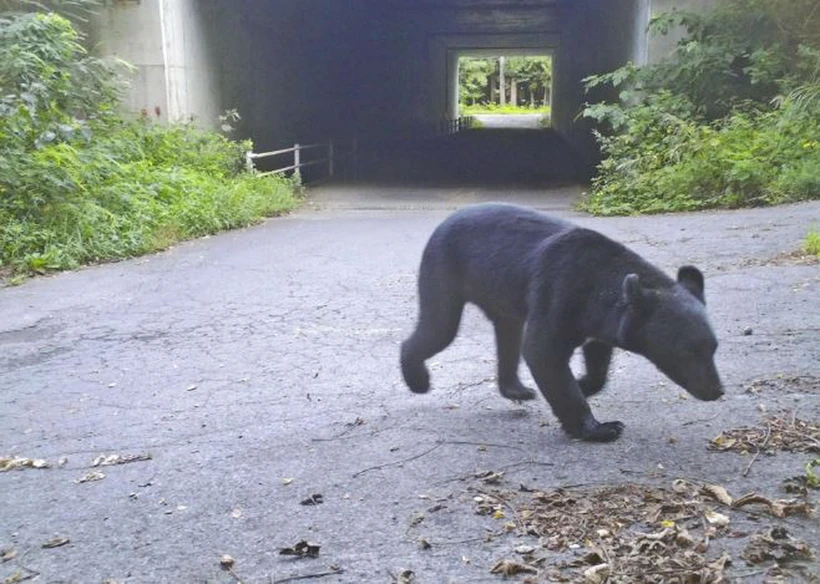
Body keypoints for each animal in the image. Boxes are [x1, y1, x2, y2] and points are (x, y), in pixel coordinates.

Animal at [400, 203, 720, 440]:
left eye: (713, 348)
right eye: (685, 351)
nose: (717, 390)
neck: (600, 288)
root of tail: (445, 221)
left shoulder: (598, 322)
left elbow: (597, 357)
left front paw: (583, 383)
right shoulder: (560, 293)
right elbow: (543, 351)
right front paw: (601, 428)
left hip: (501, 295)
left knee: (508, 335)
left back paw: (517, 389)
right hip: (444, 271)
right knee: (439, 327)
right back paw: (418, 380)